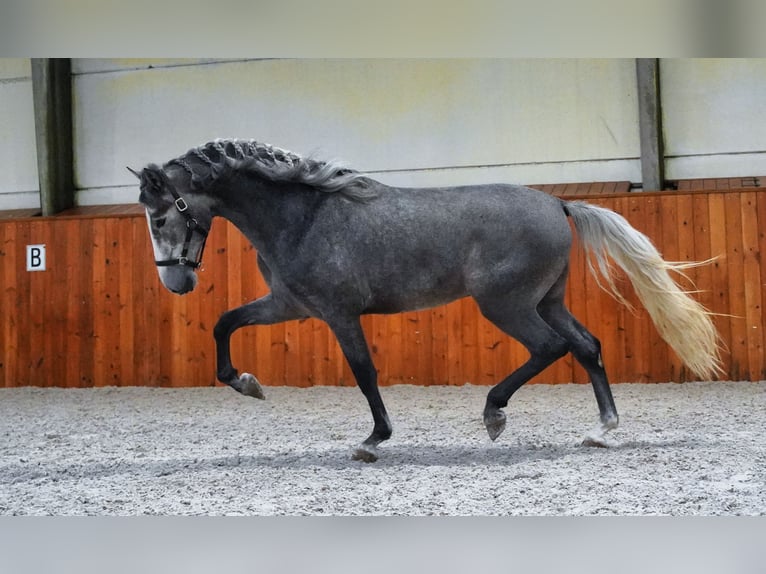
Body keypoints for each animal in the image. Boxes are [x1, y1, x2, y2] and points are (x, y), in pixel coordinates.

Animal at [129, 138, 724, 464]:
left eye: (160, 217)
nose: (175, 284)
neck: (303, 216)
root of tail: (558, 204)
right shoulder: (289, 305)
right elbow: (224, 323)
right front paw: (247, 384)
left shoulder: (338, 313)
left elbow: (364, 372)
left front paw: (373, 441)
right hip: (546, 301)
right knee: (587, 345)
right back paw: (601, 430)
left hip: (506, 305)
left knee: (550, 348)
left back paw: (494, 414)